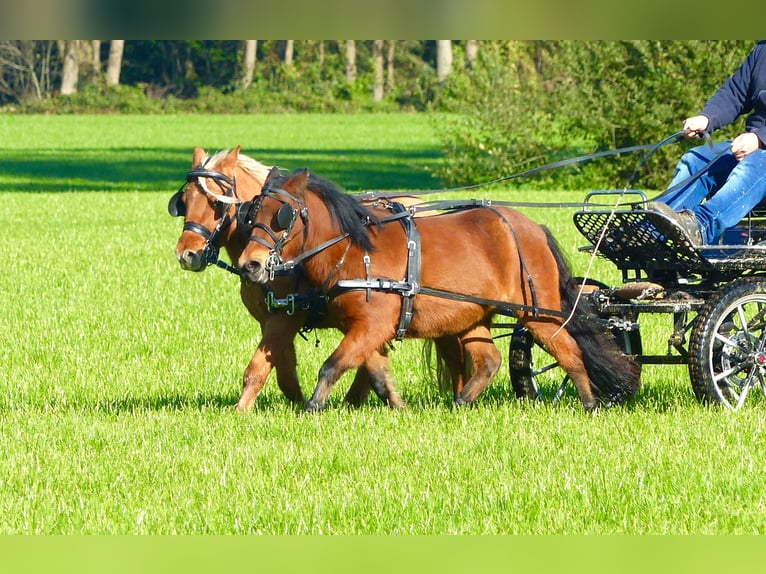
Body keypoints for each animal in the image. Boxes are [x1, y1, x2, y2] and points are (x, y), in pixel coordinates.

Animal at [238, 168, 640, 414]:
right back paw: (460, 403)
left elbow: (332, 366)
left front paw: (311, 408)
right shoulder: (367, 329)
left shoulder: (372, 325)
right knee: (489, 361)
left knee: (570, 352)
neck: (355, 250)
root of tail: (534, 229)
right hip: (473, 317)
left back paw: (589, 403)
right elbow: (376, 373)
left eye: (283, 216)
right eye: (253, 211)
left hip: (538, 313)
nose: (250, 264)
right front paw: (398, 407)